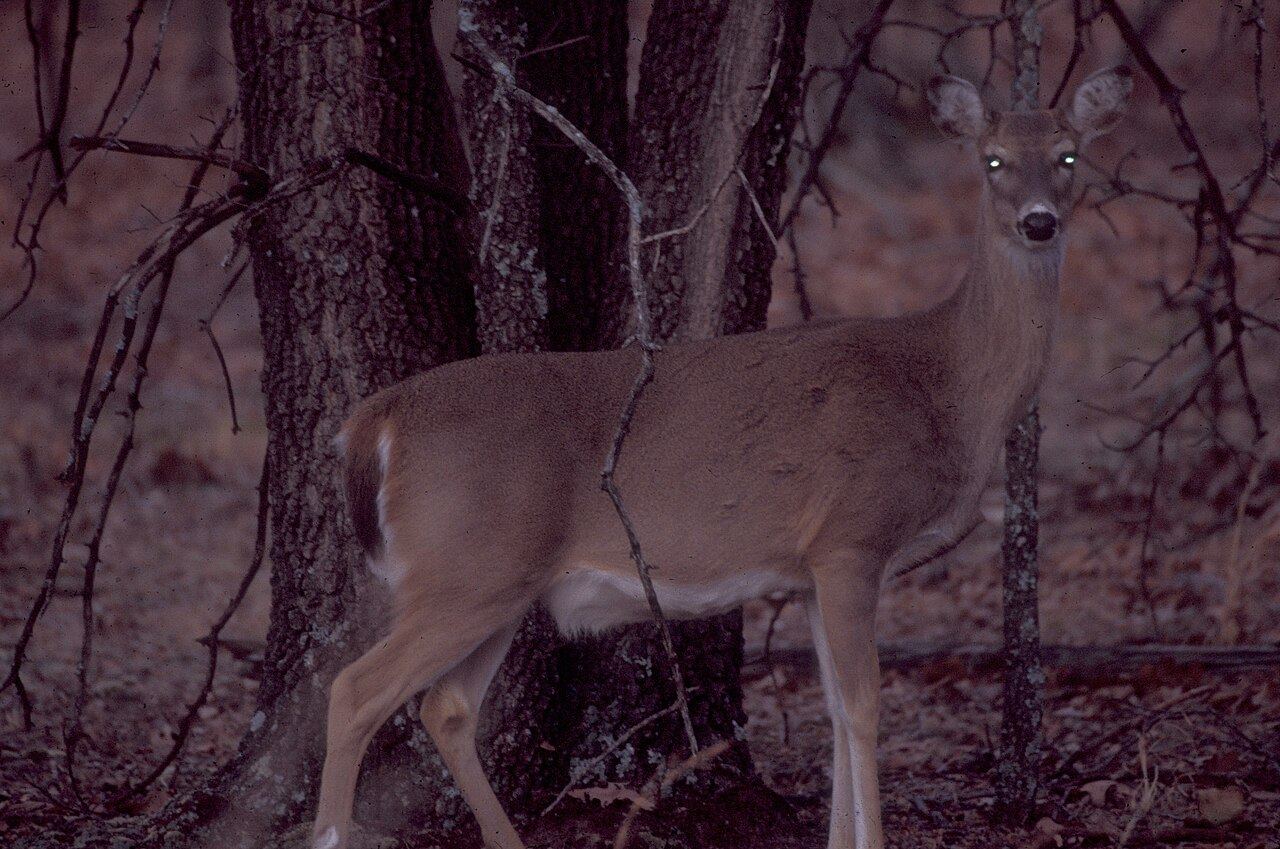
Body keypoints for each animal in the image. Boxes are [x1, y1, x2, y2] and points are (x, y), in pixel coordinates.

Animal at [310, 66, 1132, 849]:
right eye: (993, 160)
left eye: (1068, 155)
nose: (1038, 222)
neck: (947, 386)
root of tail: (377, 418)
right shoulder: (852, 537)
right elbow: (863, 707)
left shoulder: (810, 569)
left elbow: (835, 710)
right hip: (464, 567)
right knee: (353, 691)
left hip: (496, 581)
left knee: (444, 707)